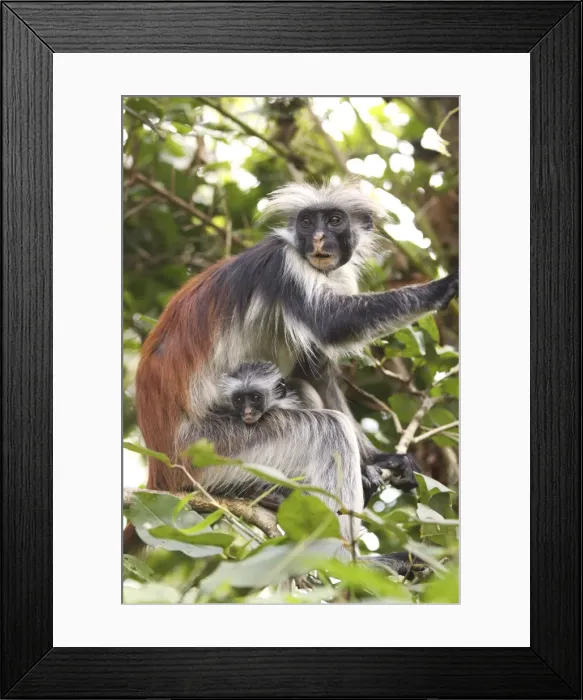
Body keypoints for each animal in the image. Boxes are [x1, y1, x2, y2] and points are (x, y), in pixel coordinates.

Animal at [131, 180, 458, 560]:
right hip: (210, 447)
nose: (316, 237)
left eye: (334, 220)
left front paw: (381, 460)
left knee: (302, 388)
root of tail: (160, 469)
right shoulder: (285, 265)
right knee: (329, 430)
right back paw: (350, 563)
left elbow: (315, 370)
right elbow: (332, 323)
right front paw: (444, 285)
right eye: (306, 221)